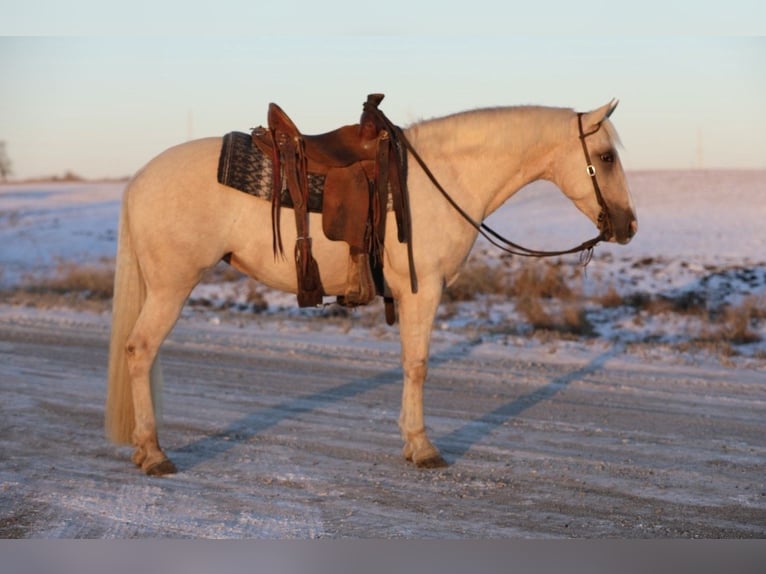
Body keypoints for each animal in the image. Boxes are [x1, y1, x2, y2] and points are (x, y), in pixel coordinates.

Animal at [105, 99, 640, 476]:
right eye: (605, 156)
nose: (628, 225)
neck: (443, 178)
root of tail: (139, 179)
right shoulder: (423, 292)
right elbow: (417, 365)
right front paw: (423, 447)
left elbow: (410, 364)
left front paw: (410, 441)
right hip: (172, 287)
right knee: (140, 350)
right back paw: (153, 453)